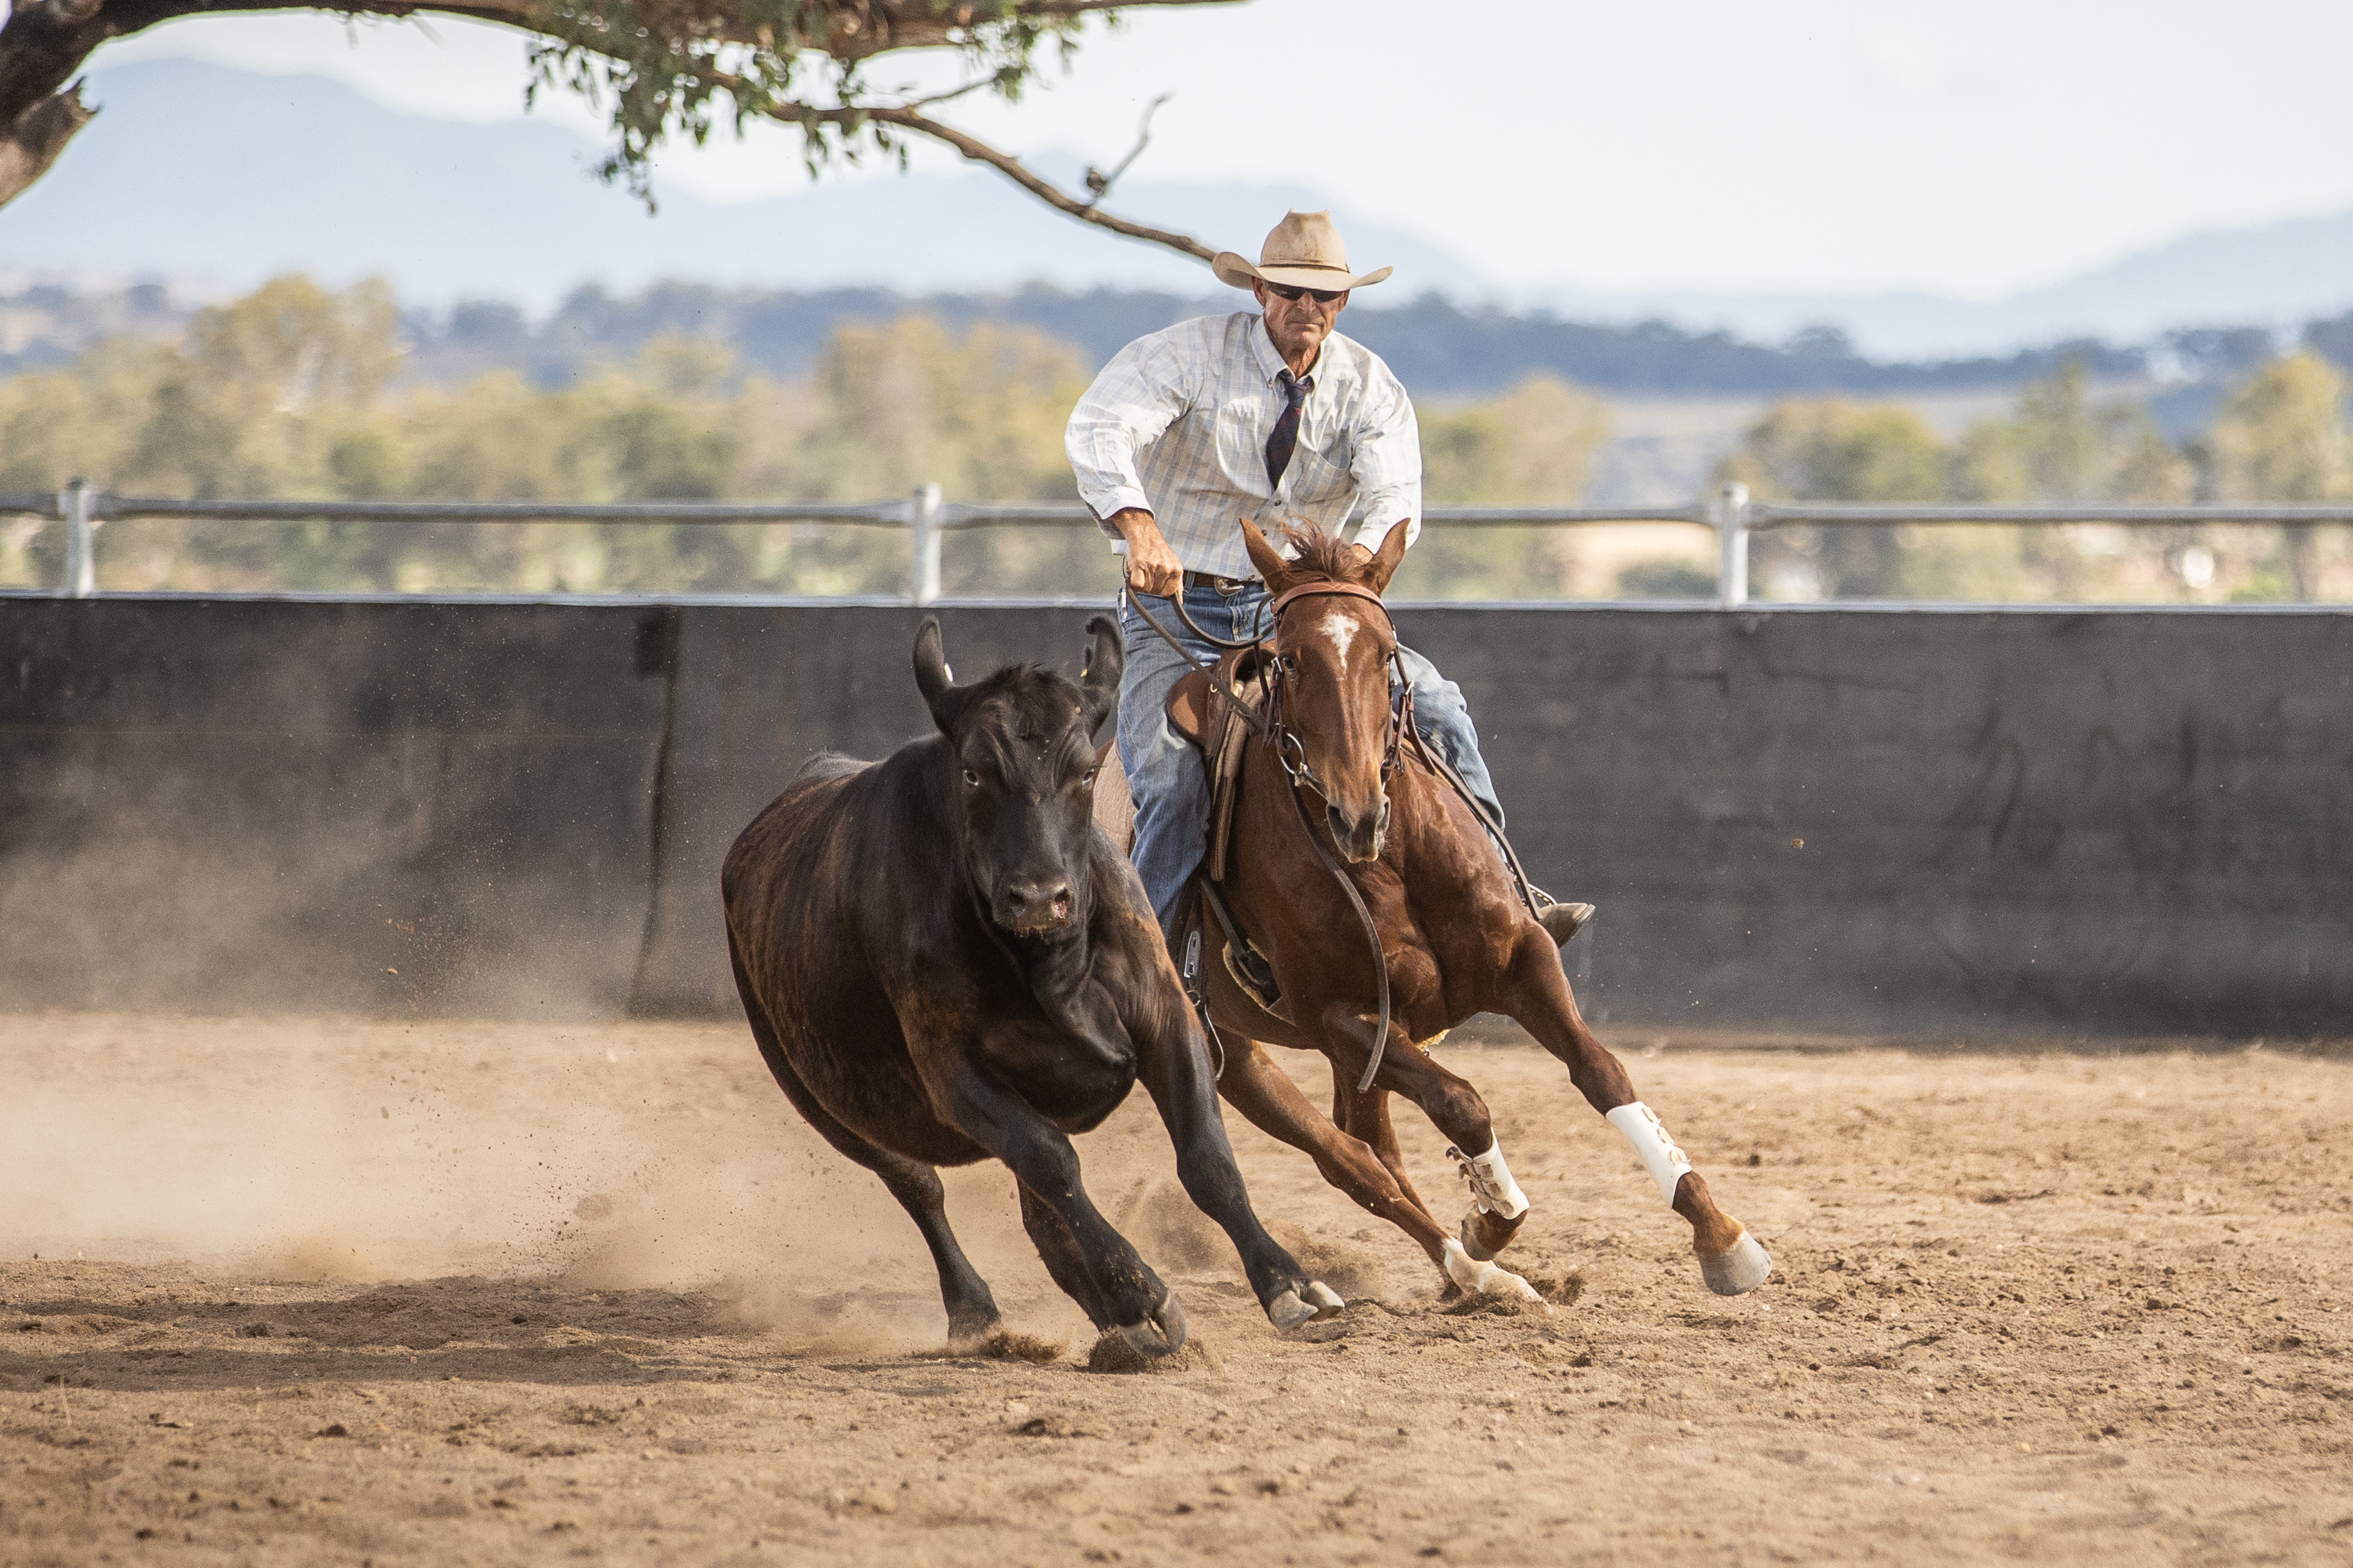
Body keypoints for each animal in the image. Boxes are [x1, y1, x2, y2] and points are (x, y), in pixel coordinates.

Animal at [722, 614, 1343, 1359]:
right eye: (973, 772)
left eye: (1083, 772)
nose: (1039, 896)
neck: (1048, 962)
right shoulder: (953, 1072)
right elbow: (1053, 1163)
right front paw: (1142, 1292)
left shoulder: (1167, 1017)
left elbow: (1207, 1161)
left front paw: (1288, 1283)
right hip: (818, 1093)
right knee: (919, 1186)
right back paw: (983, 1309)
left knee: (1036, 1215)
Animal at [1122, 520, 1774, 1304]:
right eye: (1291, 661)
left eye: (1383, 651)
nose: (1355, 813)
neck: (1393, 857)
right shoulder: (1346, 1018)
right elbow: (1462, 1104)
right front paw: (1491, 1217)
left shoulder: (1521, 960)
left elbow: (1602, 1071)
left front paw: (1720, 1234)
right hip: (1233, 1054)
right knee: (1348, 1160)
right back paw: (1471, 1268)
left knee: (1369, 1145)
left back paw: (1468, 1273)